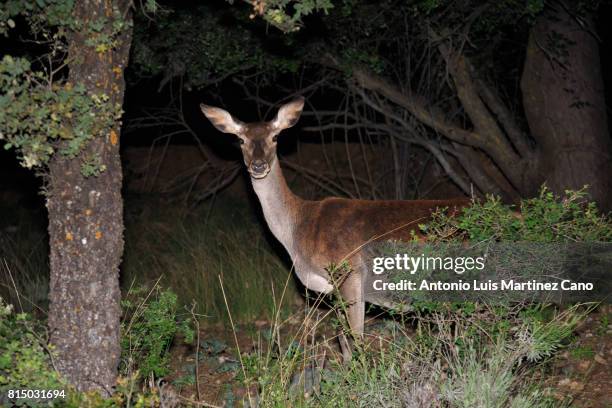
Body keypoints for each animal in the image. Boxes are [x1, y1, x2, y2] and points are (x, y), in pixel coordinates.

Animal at [201, 97, 468, 358]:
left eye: (275, 136)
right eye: (240, 139)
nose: (258, 165)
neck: (297, 229)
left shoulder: (350, 271)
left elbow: (356, 337)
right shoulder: (332, 289)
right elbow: (342, 338)